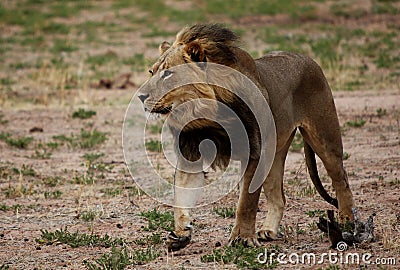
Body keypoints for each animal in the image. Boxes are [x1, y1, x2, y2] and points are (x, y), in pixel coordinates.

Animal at [137, 23, 354, 251]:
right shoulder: (190, 153)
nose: (140, 96)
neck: (206, 111)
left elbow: (246, 202)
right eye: (151, 72)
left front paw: (242, 238)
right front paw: (181, 234)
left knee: (342, 181)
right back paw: (269, 231)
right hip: (274, 154)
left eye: (168, 74)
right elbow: (181, 198)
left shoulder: (255, 152)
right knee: (279, 197)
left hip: (325, 139)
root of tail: (308, 59)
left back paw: (347, 223)